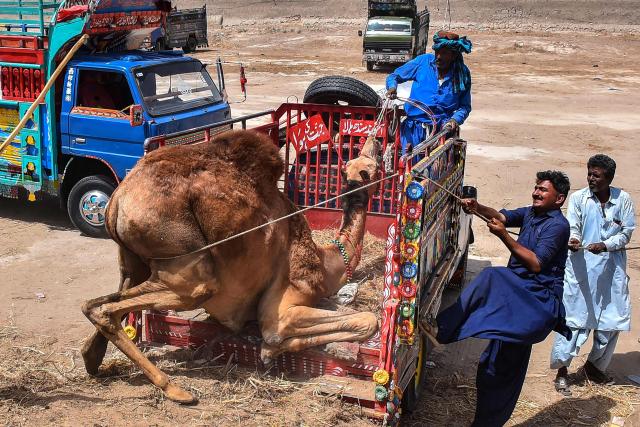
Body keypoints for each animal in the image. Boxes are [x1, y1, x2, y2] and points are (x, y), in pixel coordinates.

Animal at [80, 129, 383, 404]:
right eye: (374, 168)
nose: (376, 141)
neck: (328, 262)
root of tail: (117, 200)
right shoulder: (283, 305)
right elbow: (368, 321)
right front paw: (269, 352)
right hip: (187, 267)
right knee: (107, 308)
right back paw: (176, 390)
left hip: (134, 261)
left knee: (102, 301)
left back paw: (92, 360)